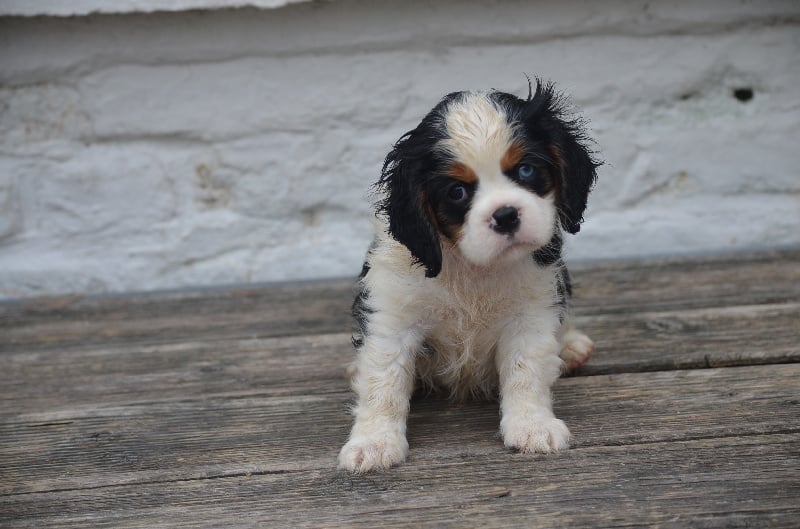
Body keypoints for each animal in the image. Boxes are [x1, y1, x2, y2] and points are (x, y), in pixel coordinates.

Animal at [340, 79, 600, 470]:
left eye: (526, 171)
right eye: (457, 191)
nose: (505, 215)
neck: (473, 267)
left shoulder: (530, 312)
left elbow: (527, 370)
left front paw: (532, 426)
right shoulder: (392, 316)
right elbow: (384, 382)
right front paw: (373, 442)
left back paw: (570, 346)